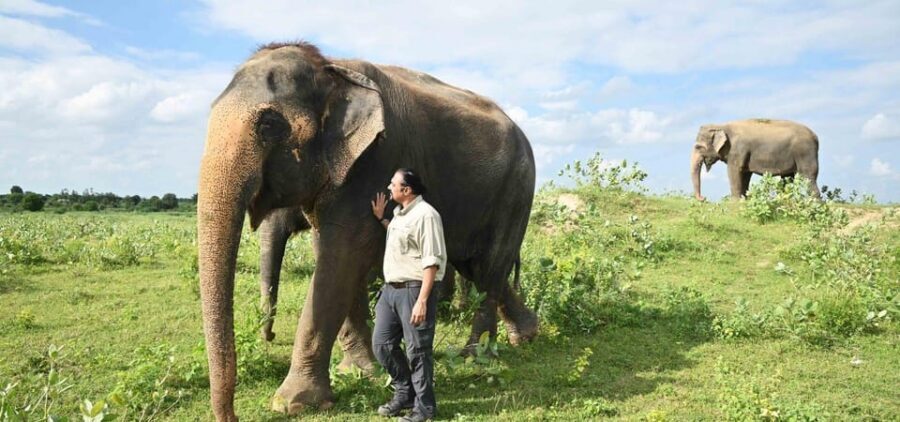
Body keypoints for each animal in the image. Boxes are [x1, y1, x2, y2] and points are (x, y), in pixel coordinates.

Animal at [197, 42, 539, 420]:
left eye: (268, 124)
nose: (232, 416)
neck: (332, 68)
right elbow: (336, 257)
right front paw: (361, 371)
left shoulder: (376, 159)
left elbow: (342, 256)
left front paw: (294, 402)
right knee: (477, 266)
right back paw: (526, 335)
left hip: (517, 190)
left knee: (490, 266)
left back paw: (475, 356)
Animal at [690, 119, 820, 201]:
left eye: (698, 147)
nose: (703, 198)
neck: (721, 126)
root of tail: (816, 137)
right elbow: (745, 175)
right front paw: (744, 201)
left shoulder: (737, 150)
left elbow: (734, 172)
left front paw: (734, 206)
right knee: (787, 178)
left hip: (805, 152)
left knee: (809, 176)